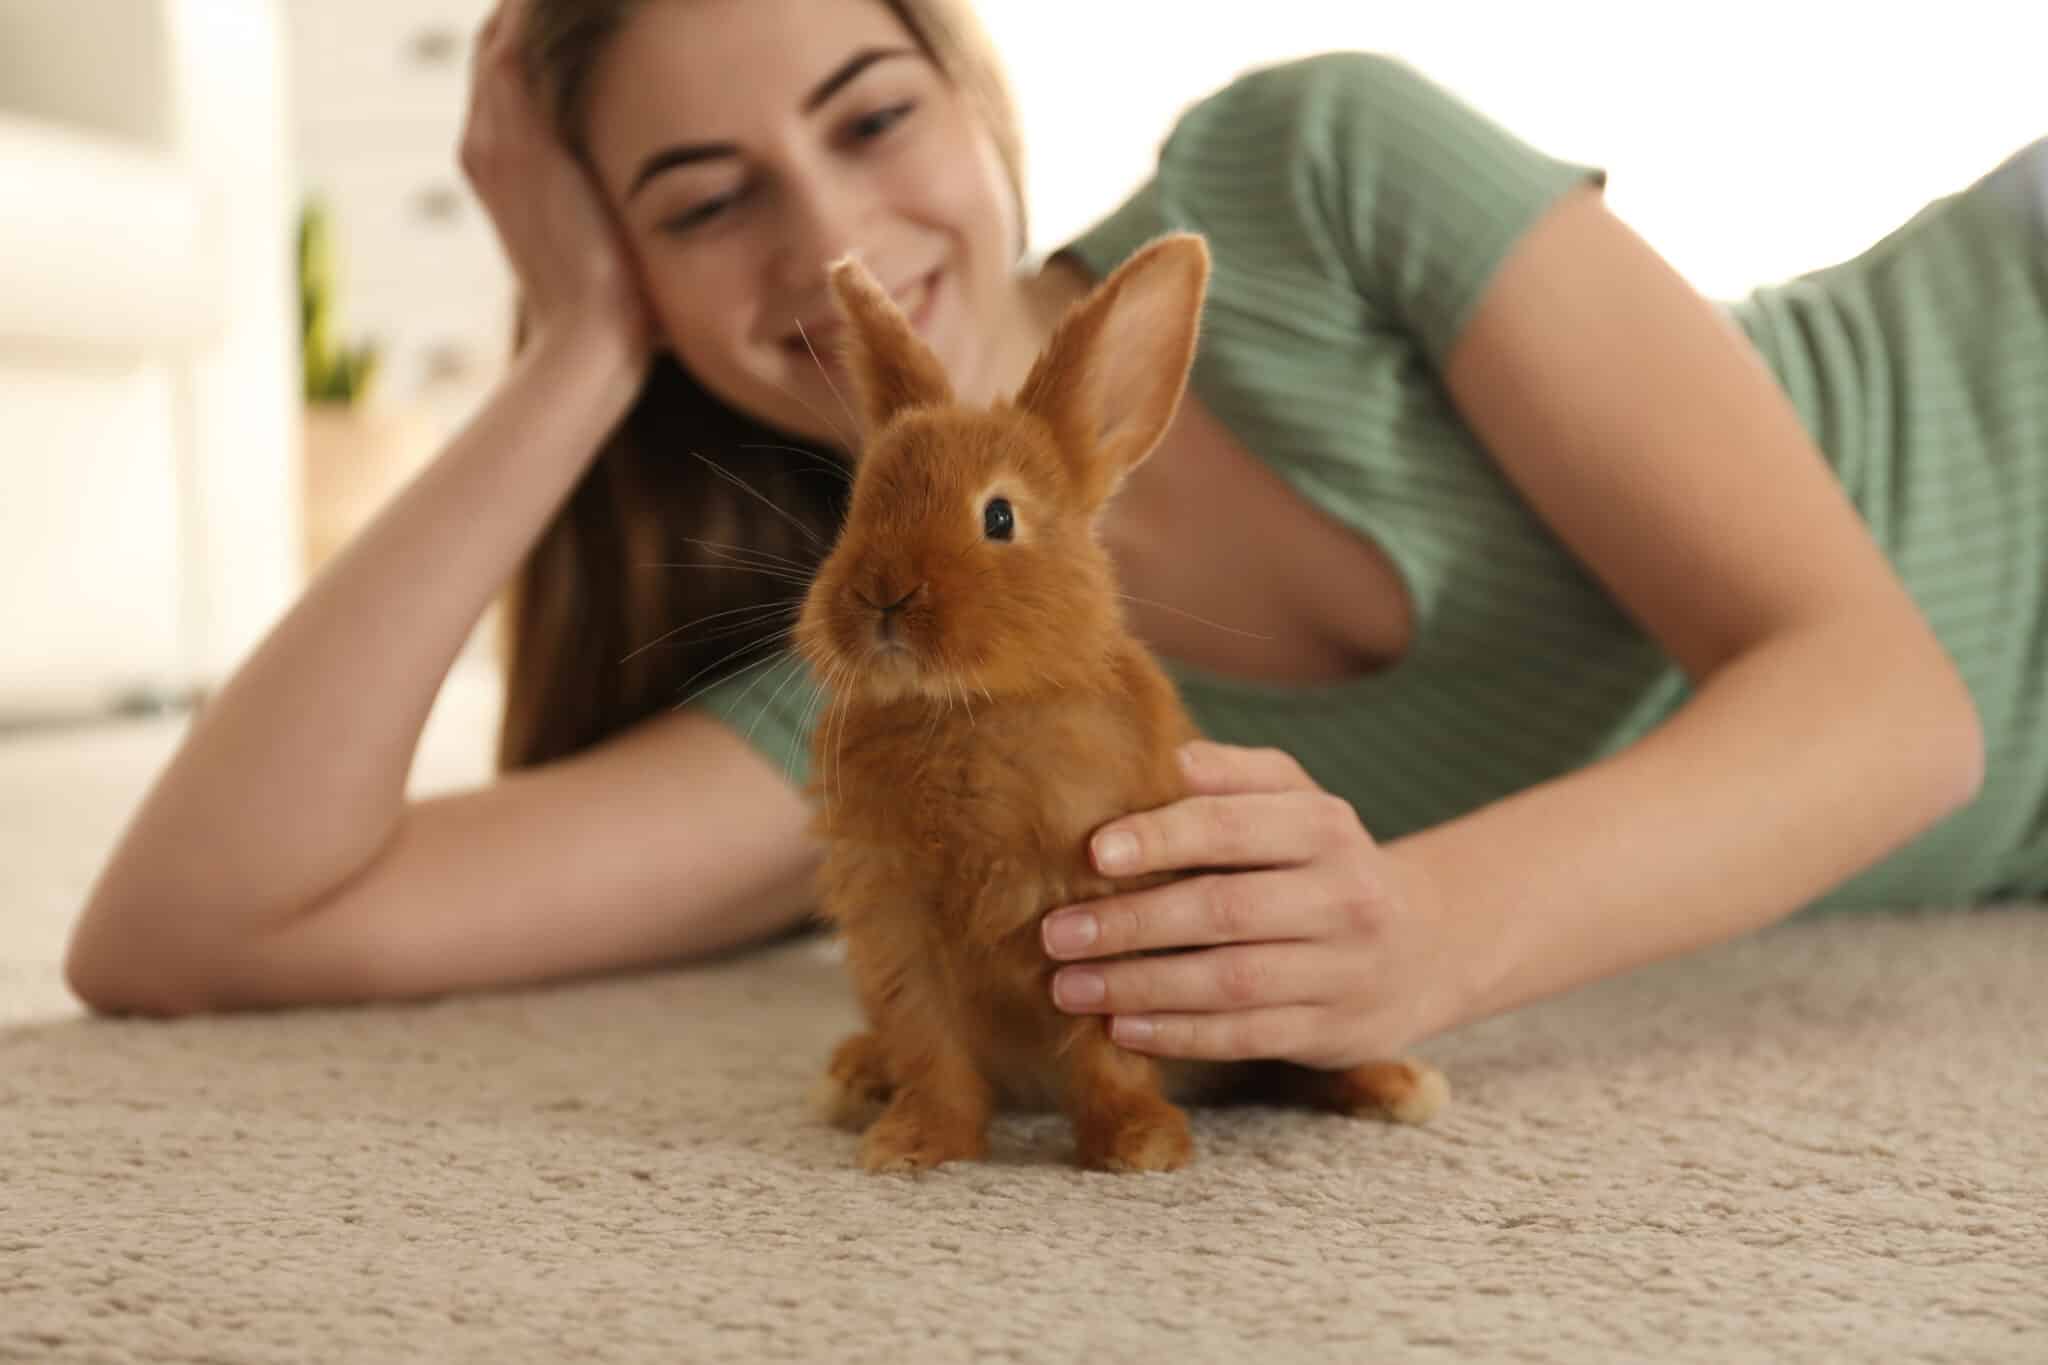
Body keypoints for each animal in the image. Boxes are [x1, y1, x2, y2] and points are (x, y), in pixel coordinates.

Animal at [793, 233, 1449, 1174]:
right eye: (857, 506)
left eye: (999, 517)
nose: (882, 593)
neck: (969, 708)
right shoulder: (898, 931)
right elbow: (931, 1049)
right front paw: (915, 1146)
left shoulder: (1108, 924)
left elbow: (1111, 1052)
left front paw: (1139, 1145)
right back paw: (852, 1075)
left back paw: (1400, 1086)